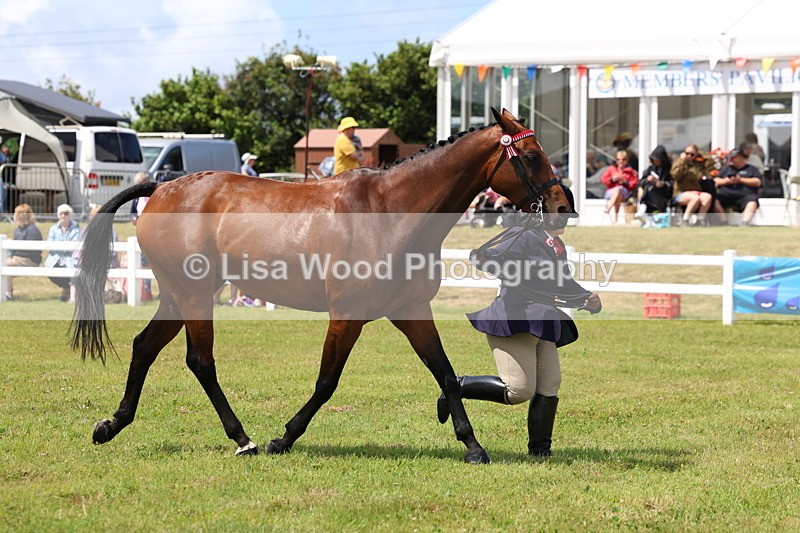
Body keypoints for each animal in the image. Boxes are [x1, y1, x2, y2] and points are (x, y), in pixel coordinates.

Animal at [71, 108, 575, 464]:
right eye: (532, 156)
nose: (561, 206)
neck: (389, 211)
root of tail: (161, 188)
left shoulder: (412, 312)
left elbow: (446, 374)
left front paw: (472, 446)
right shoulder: (347, 317)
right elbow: (327, 380)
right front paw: (283, 438)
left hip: (180, 295)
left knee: (144, 346)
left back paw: (112, 424)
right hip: (194, 295)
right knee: (200, 361)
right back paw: (243, 439)